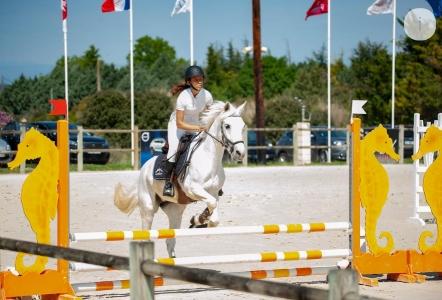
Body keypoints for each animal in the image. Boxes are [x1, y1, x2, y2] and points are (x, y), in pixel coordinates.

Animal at [114, 102, 245, 256]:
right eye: (227, 126)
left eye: (243, 126)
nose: (240, 153)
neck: (209, 158)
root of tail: (145, 167)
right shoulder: (192, 189)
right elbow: (211, 204)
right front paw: (199, 219)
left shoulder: (213, 192)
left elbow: (214, 212)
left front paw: (200, 219)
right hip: (148, 208)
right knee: (145, 232)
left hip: (175, 210)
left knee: (170, 240)